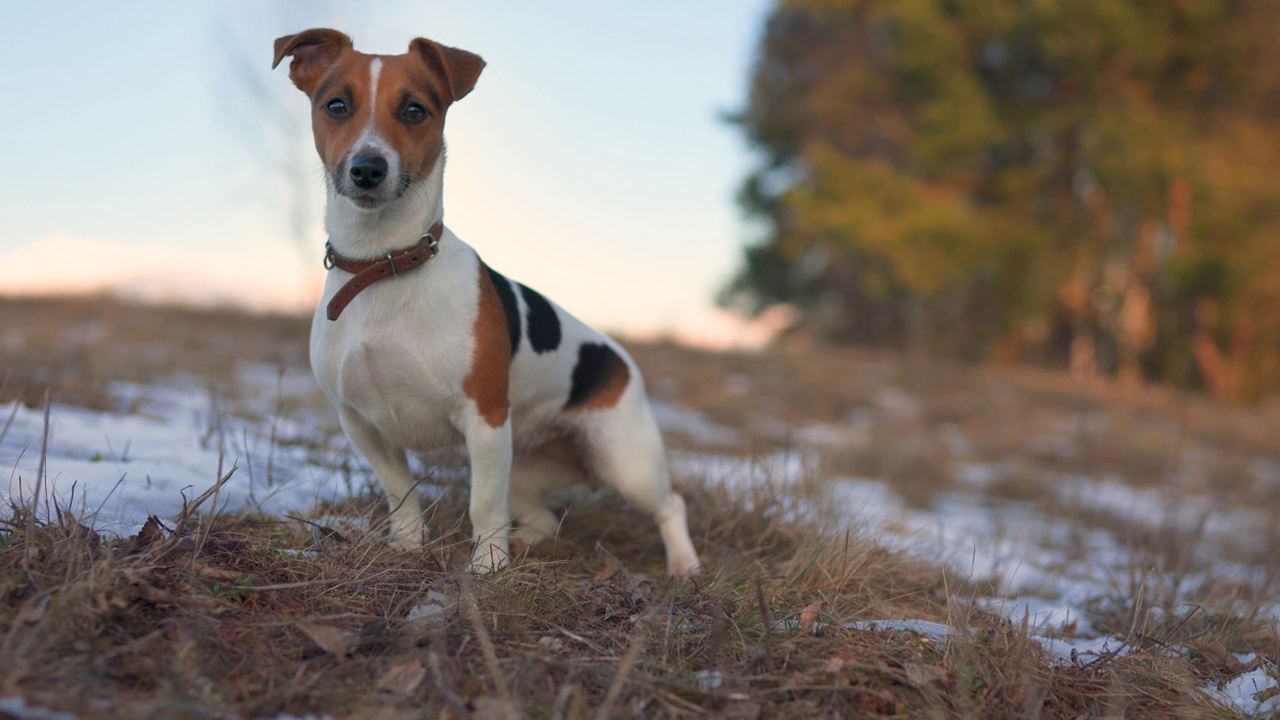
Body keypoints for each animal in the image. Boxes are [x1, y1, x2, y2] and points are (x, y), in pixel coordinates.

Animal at [273, 30, 706, 573]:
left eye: (414, 110)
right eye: (335, 105)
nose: (367, 168)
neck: (384, 262)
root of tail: (623, 358)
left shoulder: (485, 420)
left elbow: (482, 504)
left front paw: (486, 567)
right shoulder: (362, 424)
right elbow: (400, 493)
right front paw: (409, 545)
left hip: (624, 460)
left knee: (672, 505)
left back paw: (685, 566)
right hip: (524, 467)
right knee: (543, 519)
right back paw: (527, 543)